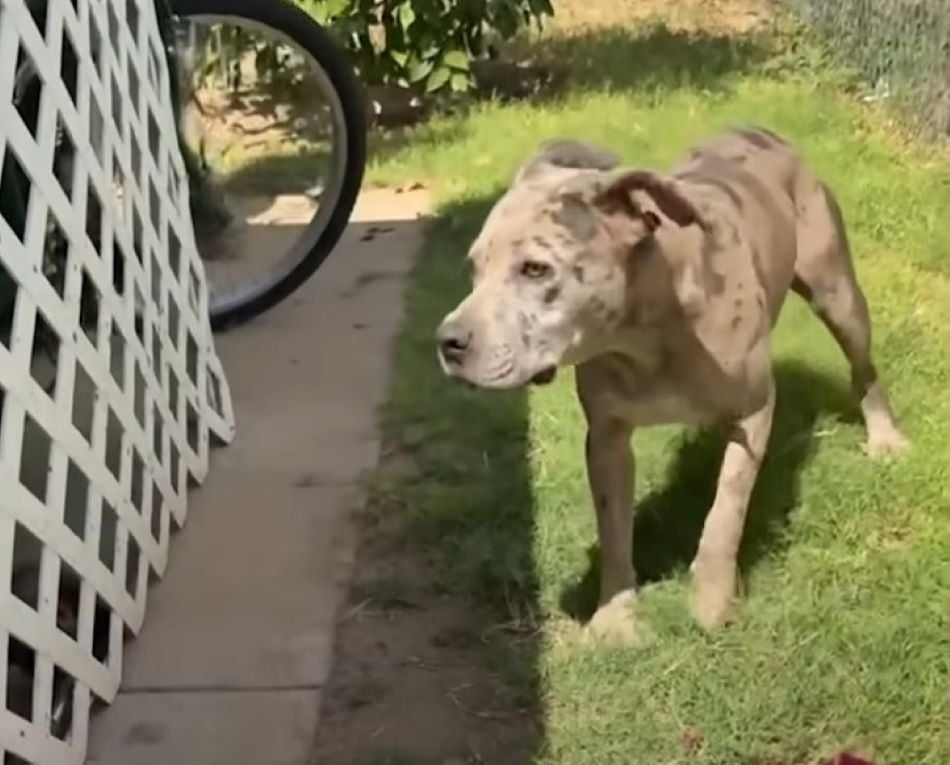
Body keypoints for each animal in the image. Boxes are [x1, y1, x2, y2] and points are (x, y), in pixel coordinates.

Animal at [436, 128, 912, 640]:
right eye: (473, 268)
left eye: (535, 269)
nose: (447, 341)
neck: (646, 334)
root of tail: (766, 133)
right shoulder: (607, 435)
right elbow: (613, 528)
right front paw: (615, 619)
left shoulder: (754, 411)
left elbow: (725, 514)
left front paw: (711, 603)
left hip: (836, 292)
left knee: (864, 368)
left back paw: (885, 438)